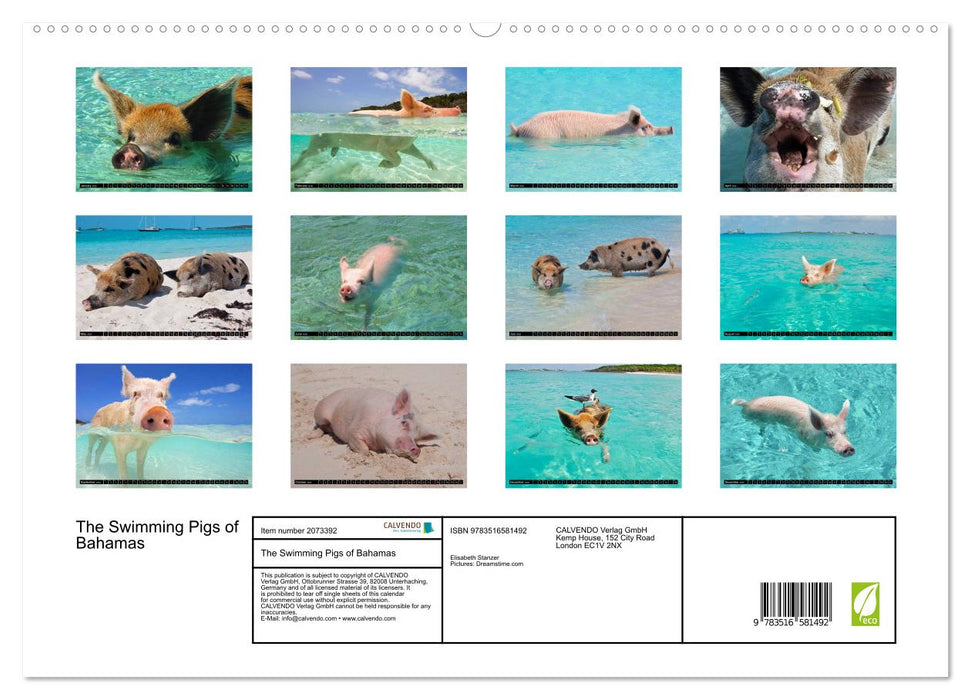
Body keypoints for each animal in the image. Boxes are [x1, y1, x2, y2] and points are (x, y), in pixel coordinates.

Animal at [291, 132, 436, 170]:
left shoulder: (405, 144)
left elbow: (415, 152)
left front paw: (433, 167)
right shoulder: (385, 144)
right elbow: (397, 159)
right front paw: (382, 164)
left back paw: (333, 153)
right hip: (321, 140)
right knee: (307, 152)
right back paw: (294, 168)